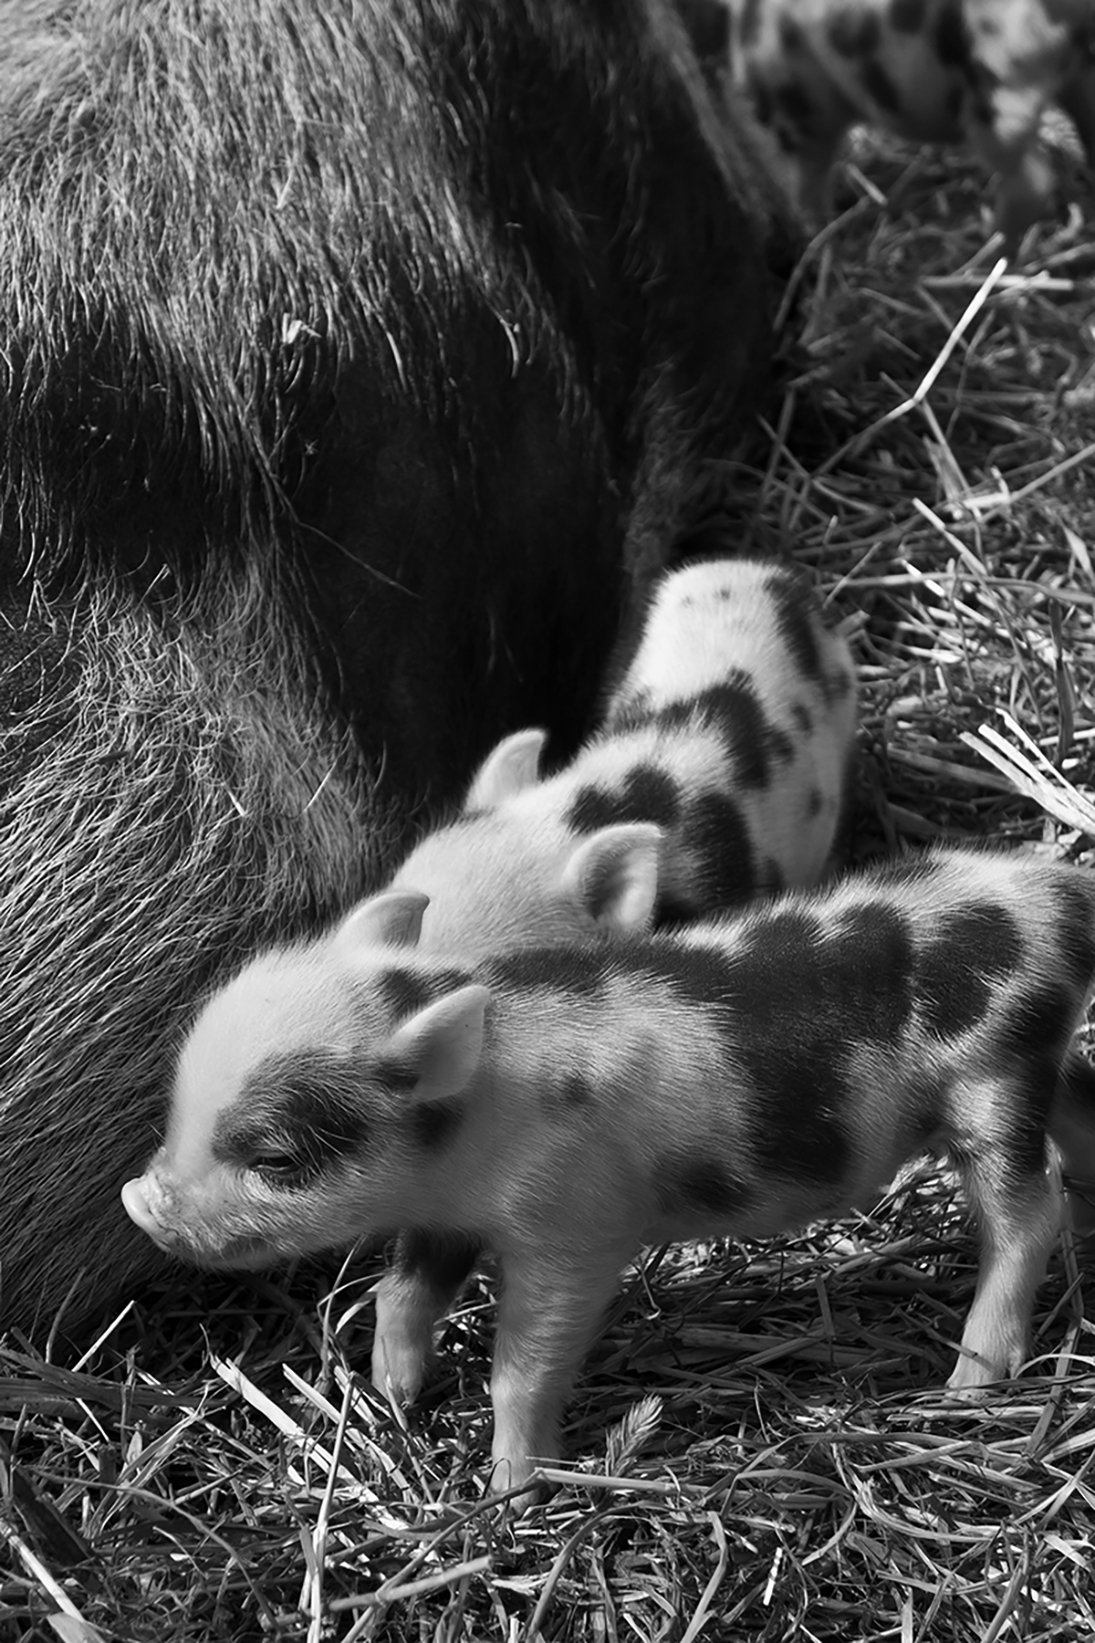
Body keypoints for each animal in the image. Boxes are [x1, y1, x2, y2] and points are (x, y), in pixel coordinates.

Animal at [122, 845, 1095, 1505]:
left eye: (274, 1158)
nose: (137, 1200)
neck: (482, 1112)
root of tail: (1056, 895)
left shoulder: (573, 1231)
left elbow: (523, 1363)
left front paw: (509, 1494)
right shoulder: (450, 1213)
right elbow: (401, 1291)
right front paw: (394, 1394)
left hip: (993, 1078)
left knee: (1031, 1211)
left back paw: (967, 1387)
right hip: (1033, 1066)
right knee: (1079, 1108)